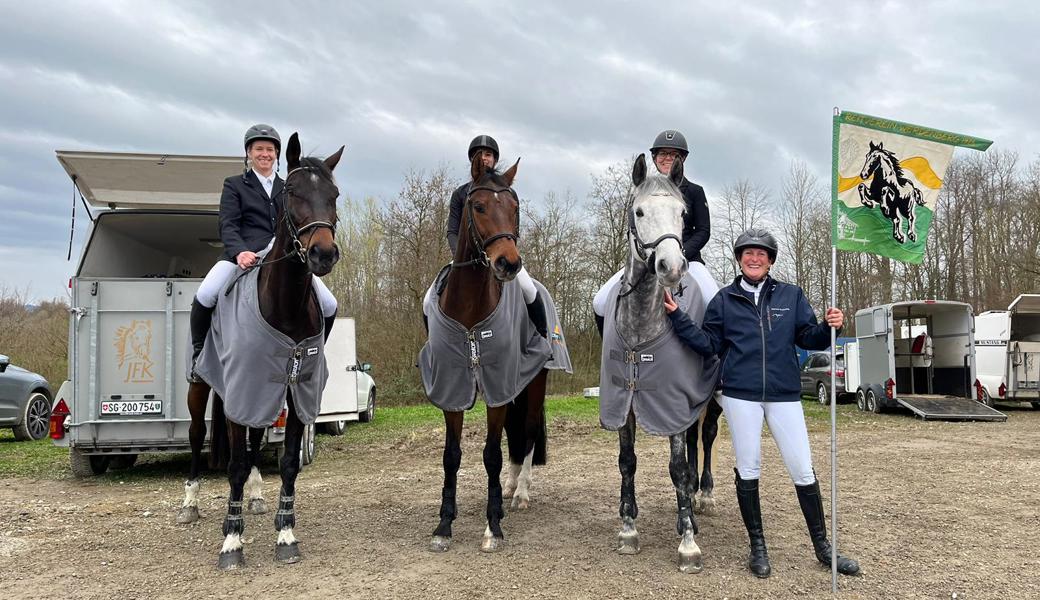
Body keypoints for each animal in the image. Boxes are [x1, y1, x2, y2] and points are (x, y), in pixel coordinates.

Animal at [175, 133, 341, 569]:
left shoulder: (297, 392)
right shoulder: (241, 387)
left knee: (252, 437)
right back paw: (190, 503)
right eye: (292, 192)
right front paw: (232, 542)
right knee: (197, 435)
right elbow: (232, 464)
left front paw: (286, 535)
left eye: (334, 194)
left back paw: (255, 495)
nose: (323, 254)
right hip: (203, 386)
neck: (285, 305)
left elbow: (287, 463)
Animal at [422, 151, 553, 549]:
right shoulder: (453, 390)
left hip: (533, 384)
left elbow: (492, 454)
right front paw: (444, 525)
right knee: (516, 436)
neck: (470, 315)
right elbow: (451, 456)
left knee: (527, 434)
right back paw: (510, 487)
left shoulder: (497, 388)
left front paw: (493, 526)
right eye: (477, 206)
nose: (508, 263)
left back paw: (521, 493)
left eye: (515, 207)